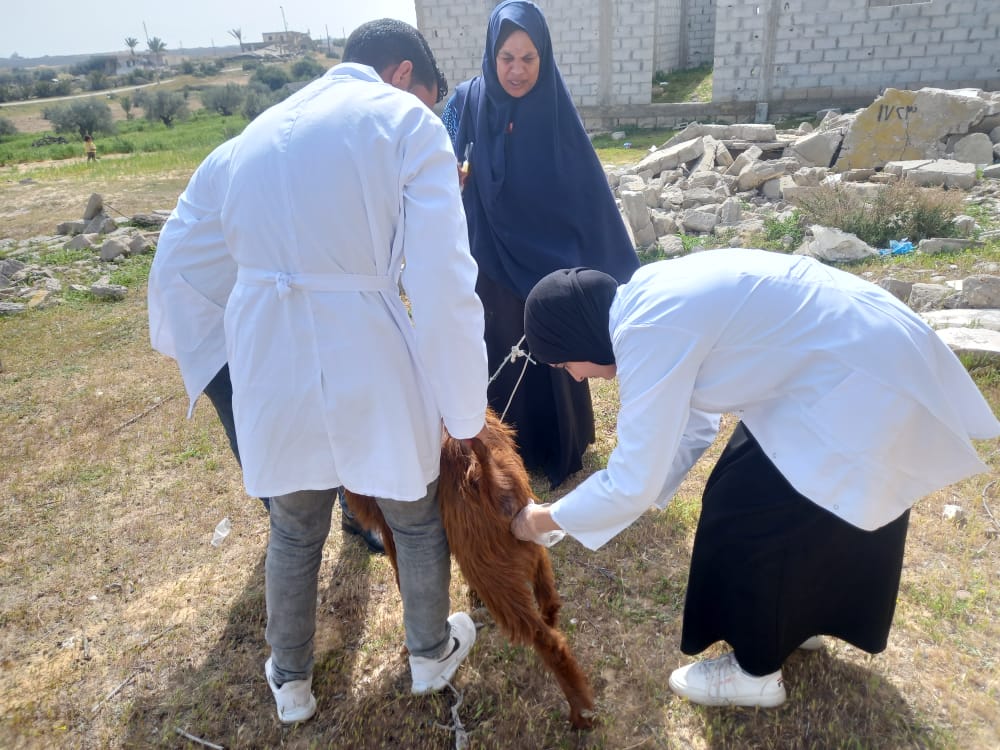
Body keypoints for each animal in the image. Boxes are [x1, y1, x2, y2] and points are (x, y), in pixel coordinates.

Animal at [344, 408, 592, 732]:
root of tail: (488, 473)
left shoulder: (395, 531)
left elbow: (403, 579)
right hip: (522, 543)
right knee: (549, 602)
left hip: (491, 577)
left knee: (549, 642)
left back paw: (579, 710)